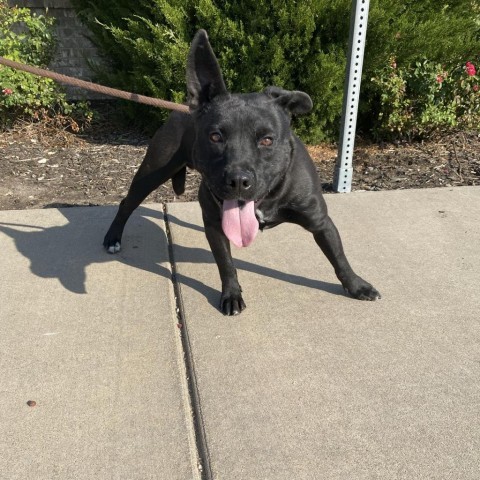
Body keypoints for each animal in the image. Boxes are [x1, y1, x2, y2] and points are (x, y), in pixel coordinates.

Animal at [103, 29, 380, 316]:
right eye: (215, 136)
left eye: (267, 140)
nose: (238, 181)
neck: (268, 197)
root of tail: (183, 108)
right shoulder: (215, 225)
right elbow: (226, 264)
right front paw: (231, 294)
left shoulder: (320, 221)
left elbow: (338, 256)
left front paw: (356, 285)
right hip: (152, 172)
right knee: (127, 203)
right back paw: (113, 238)